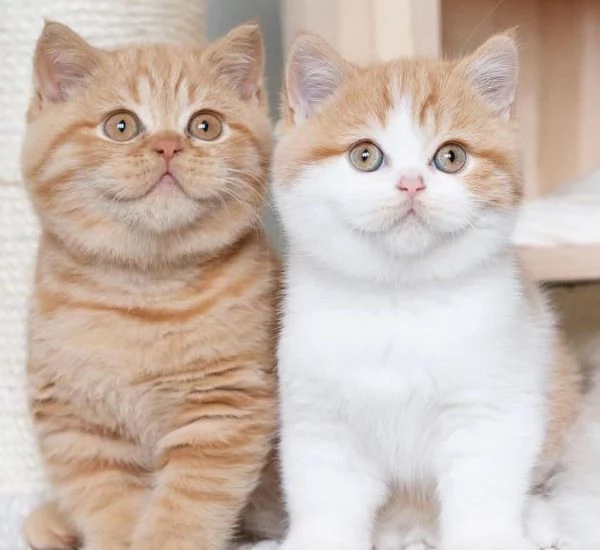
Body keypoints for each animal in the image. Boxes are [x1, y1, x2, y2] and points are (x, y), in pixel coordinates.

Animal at [20, 21, 278, 550]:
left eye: (205, 126)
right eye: (121, 126)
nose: (167, 146)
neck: (143, 292)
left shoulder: (223, 407)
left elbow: (184, 509)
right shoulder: (79, 424)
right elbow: (108, 504)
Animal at [270, 33, 584, 550]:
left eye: (451, 157)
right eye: (365, 155)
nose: (411, 183)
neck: (401, 302)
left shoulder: (491, 411)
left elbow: (485, 493)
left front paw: (493, 536)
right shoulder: (320, 420)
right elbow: (326, 500)